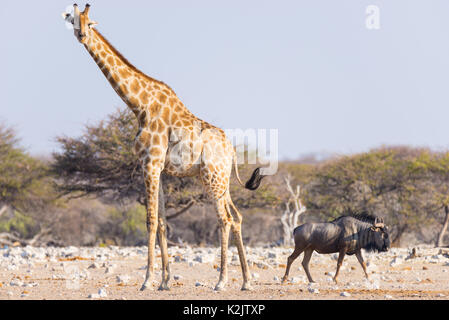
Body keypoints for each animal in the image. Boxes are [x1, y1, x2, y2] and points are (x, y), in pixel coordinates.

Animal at [63, 3, 266, 292]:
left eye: (89, 23)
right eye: (73, 21)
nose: (81, 36)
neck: (139, 105)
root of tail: (232, 151)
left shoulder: (150, 163)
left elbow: (149, 220)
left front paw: (147, 280)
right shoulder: (157, 168)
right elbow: (161, 222)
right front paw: (164, 281)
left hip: (211, 177)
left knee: (224, 219)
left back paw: (222, 280)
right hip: (222, 179)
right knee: (236, 216)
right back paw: (246, 281)